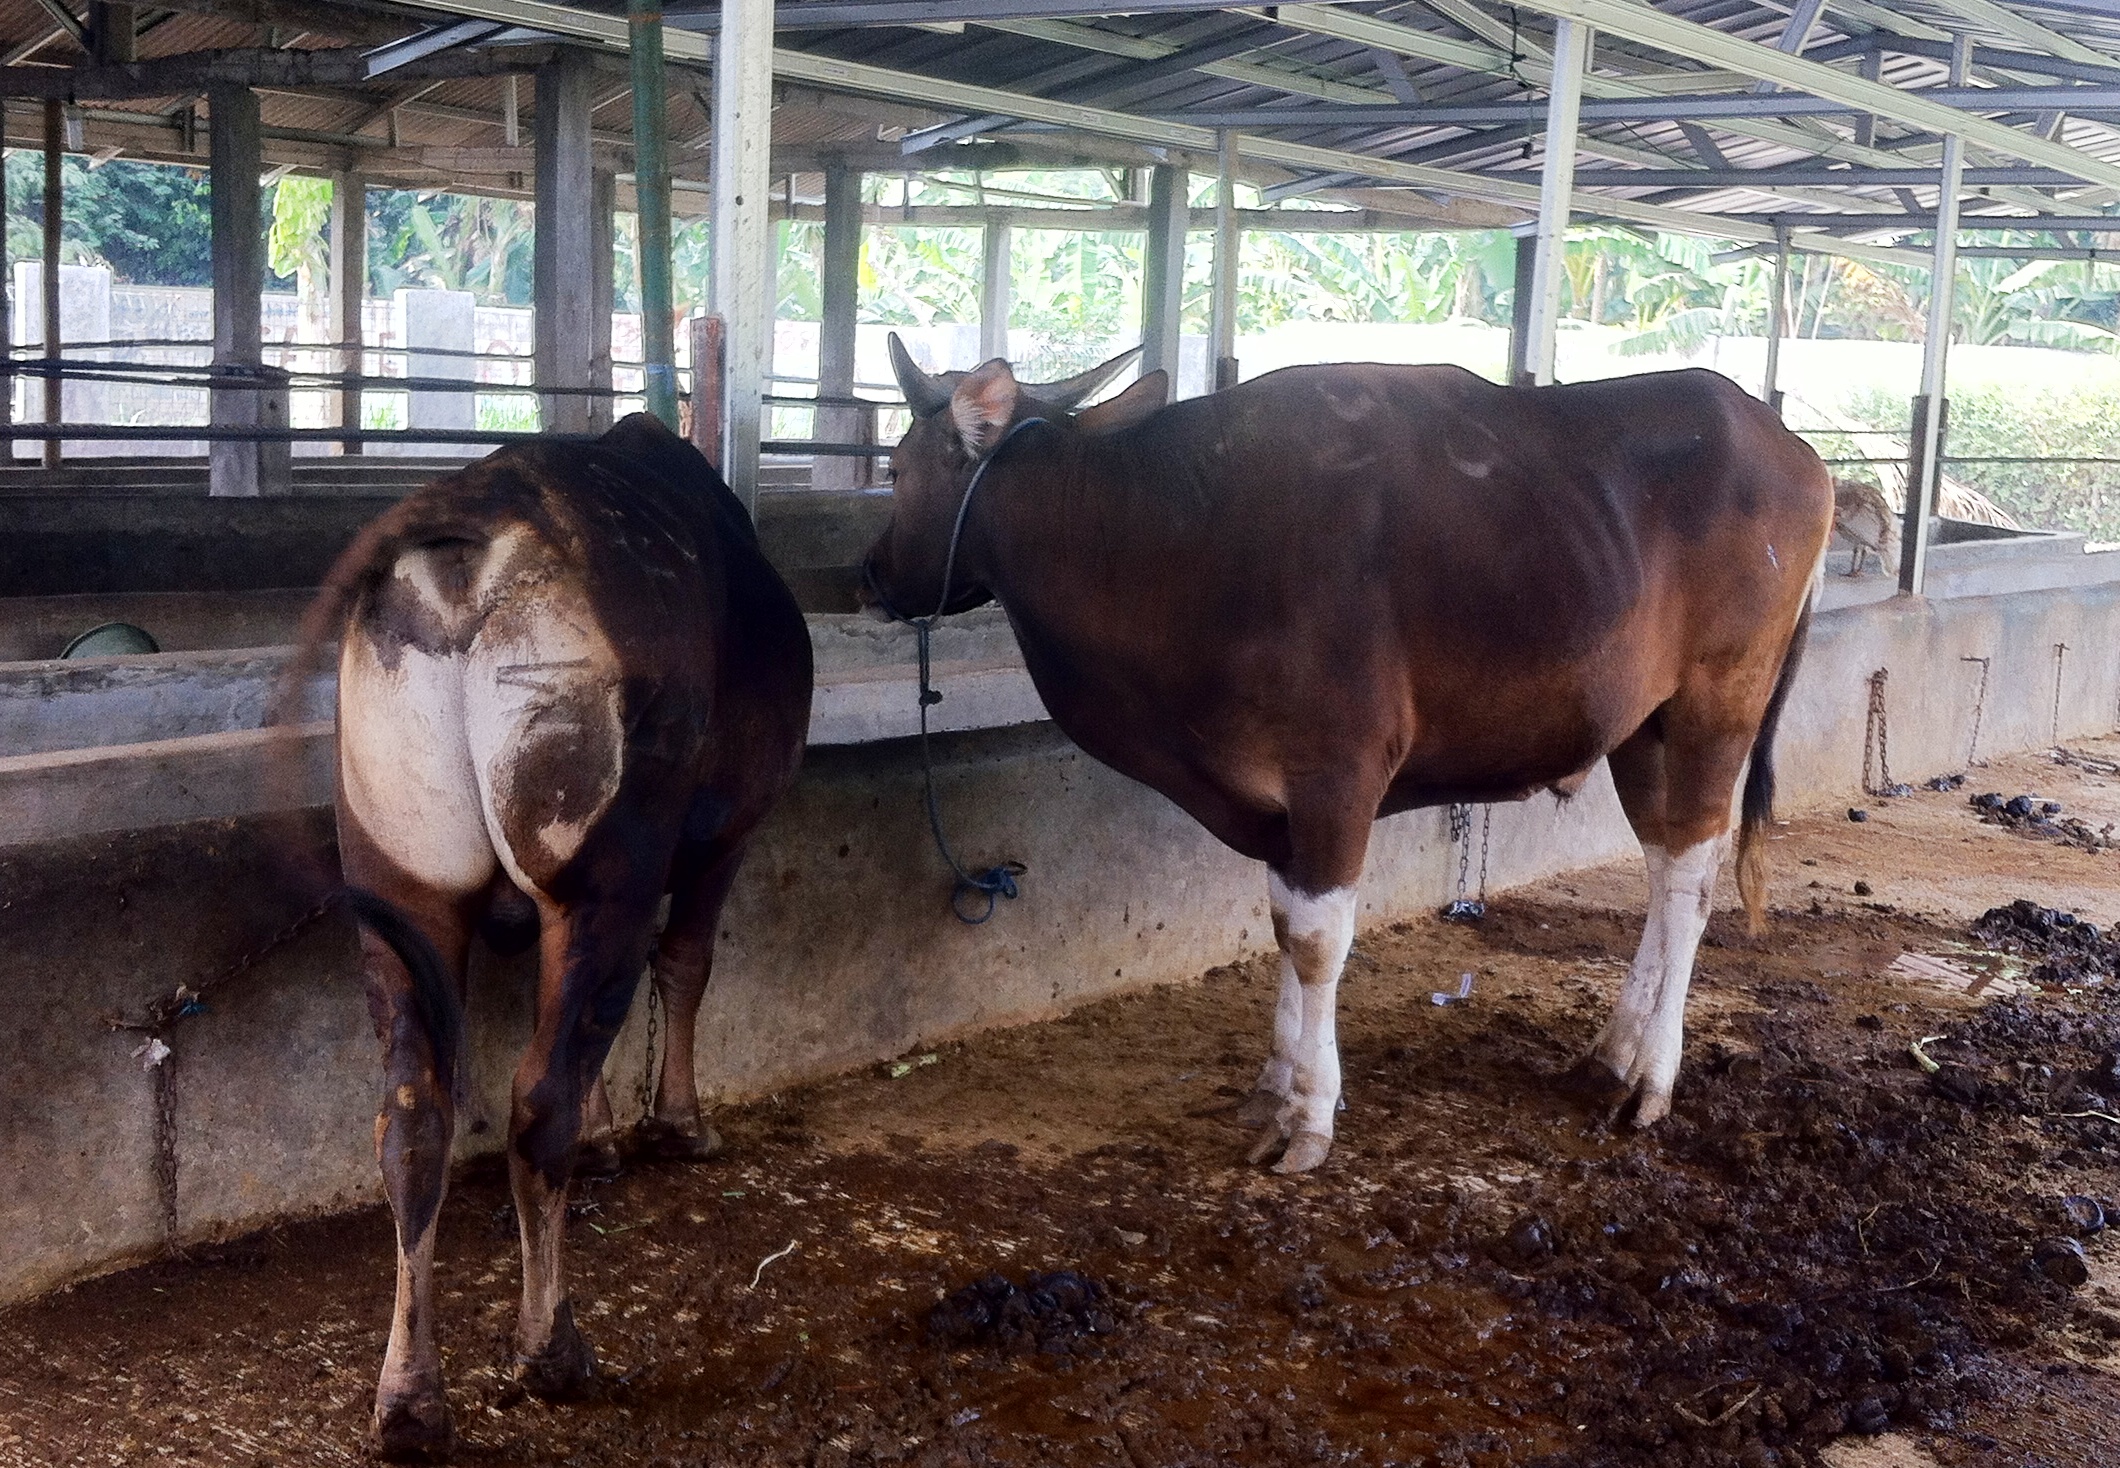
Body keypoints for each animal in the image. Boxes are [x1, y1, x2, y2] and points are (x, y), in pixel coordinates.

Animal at [307, 413, 809, 1459]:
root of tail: (472, 538)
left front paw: (622, 1132)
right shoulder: (726, 833)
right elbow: (687, 963)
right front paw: (678, 1124)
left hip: (395, 880)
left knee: (413, 1114)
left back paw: (409, 1399)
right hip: (606, 865)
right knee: (540, 1099)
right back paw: (552, 1351)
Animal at [869, 337, 1831, 1179]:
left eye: (894, 467)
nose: (871, 573)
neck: (1171, 532)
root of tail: (1792, 449)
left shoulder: (1337, 774)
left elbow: (1317, 941)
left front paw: (1310, 1118)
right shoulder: (1281, 806)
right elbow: (1283, 922)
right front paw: (1277, 1087)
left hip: (1718, 705)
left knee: (1693, 883)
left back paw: (1653, 1078)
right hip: (1642, 729)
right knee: (1663, 867)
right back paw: (1615, 1052)